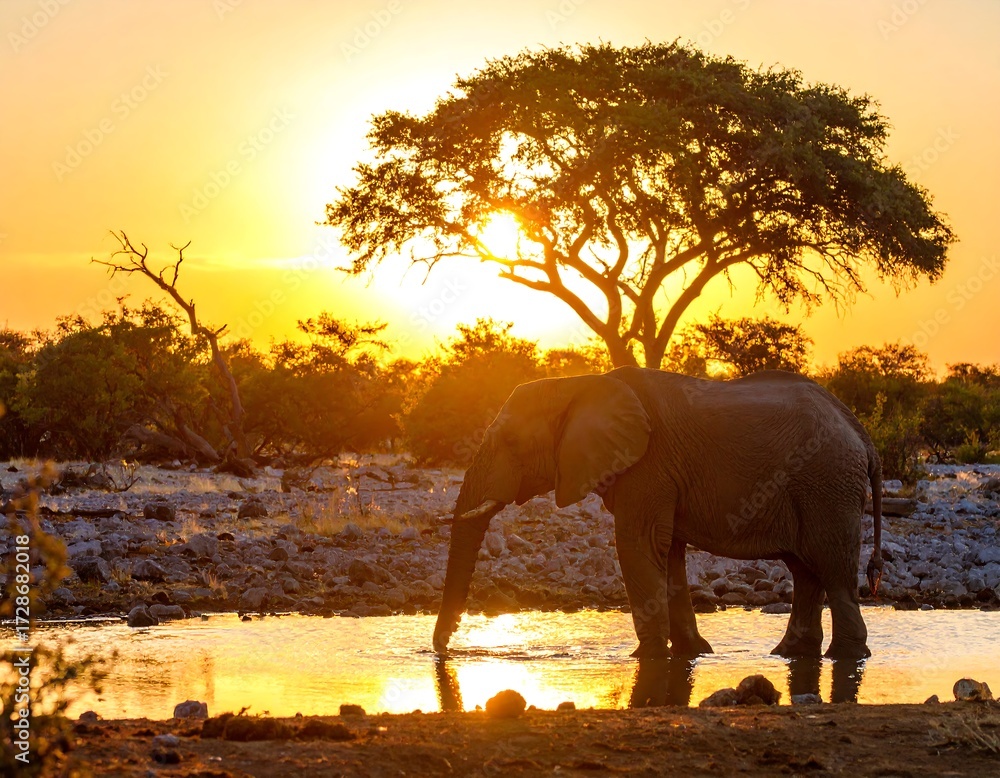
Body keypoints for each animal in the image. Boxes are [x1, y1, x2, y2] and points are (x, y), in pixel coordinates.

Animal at [432, 367, 884, 660]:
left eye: (510, 442)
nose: (440, 650)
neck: (578, 383)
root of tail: (859, 429)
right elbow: (669, 554)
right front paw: (693, 652)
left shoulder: (648, 466)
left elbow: (638, 546)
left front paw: (645, 657)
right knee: (806, 569)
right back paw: (788, 653)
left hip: (827, 483)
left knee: (831, 567)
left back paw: (845, 656)